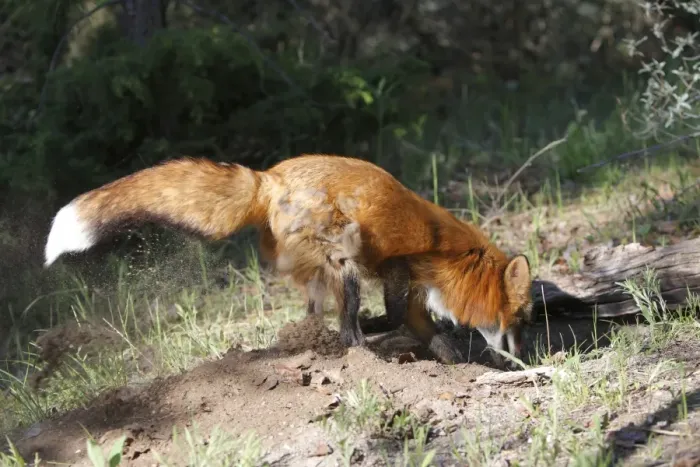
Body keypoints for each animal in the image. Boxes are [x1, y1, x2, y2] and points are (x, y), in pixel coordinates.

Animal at [44, 155, 534, 366]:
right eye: (520, 321)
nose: (524, 357)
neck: (456, 257)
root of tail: (268, 177)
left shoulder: (414, 292)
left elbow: (428, 332)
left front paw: (451, 357)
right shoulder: (402, 271)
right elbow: (396, 318)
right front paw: (385, 333)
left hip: (322, 271)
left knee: (317, 315)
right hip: (344, 266)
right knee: (347, 328)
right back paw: (363, 351)